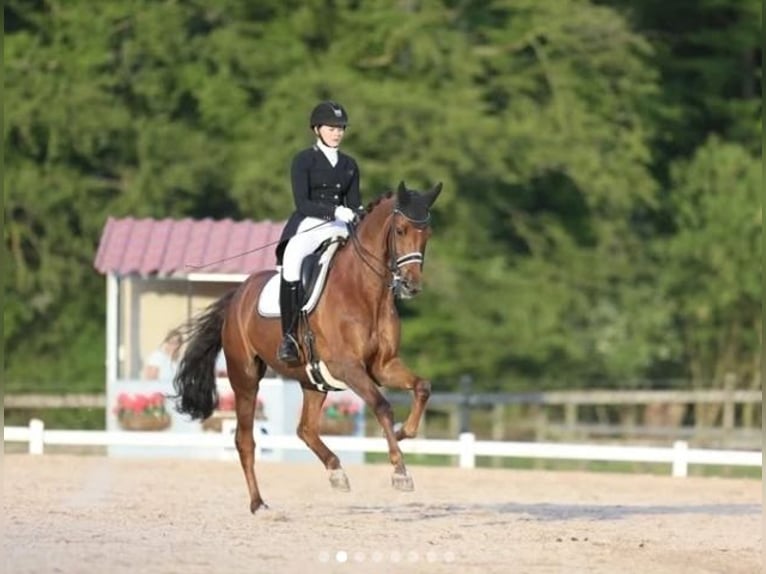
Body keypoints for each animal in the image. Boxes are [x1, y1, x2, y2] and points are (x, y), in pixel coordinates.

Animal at [171, 180, 440, 512]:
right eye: (401, 230)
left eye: (427, 233)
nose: (411, 286)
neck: (365, 291)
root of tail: (237, 295)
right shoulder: (348, 366)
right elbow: (382, 405)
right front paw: (400, 471)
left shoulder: (383, 365)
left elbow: (422, 387)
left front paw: (404, 433)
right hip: (245, 378)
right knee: (245, 440)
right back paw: (259, 504)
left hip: (313, 380)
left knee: (306, 429)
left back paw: (337, 472)